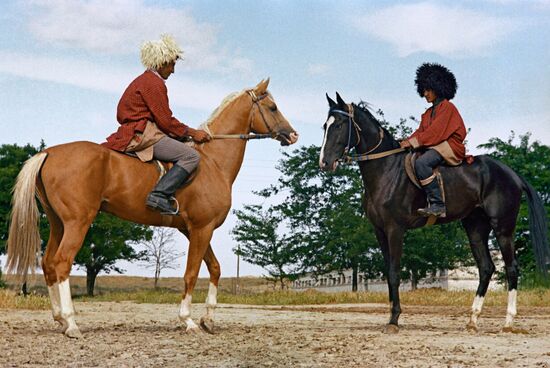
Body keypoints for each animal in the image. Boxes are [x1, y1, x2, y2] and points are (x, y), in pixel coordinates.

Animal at [6, 79, 300, 338]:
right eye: (273, 107)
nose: (294, 134)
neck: (212, 162)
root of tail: (49, 153)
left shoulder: (193, 230)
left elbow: (215, 269)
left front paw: (208, 319)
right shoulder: (202, 229)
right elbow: (192, 273)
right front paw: (188, 321)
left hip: (58, 222)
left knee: (48, 263)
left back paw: (59, 318)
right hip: (78, 222)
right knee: (62, 262)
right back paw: (71, 323)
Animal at [322, 92, 548, 334]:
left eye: (340, 124)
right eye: (325, 126)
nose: (324, 162)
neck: (386, 169)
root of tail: (512, 174)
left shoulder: (395, 229)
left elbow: (394, 272)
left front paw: (394, 319)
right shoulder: (380, 231)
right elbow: (388, 270)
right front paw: (391, 315)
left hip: (503, 228)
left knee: (511, 268)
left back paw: (508, 321)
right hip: (475, 228)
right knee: (486, 268)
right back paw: (473, 319)